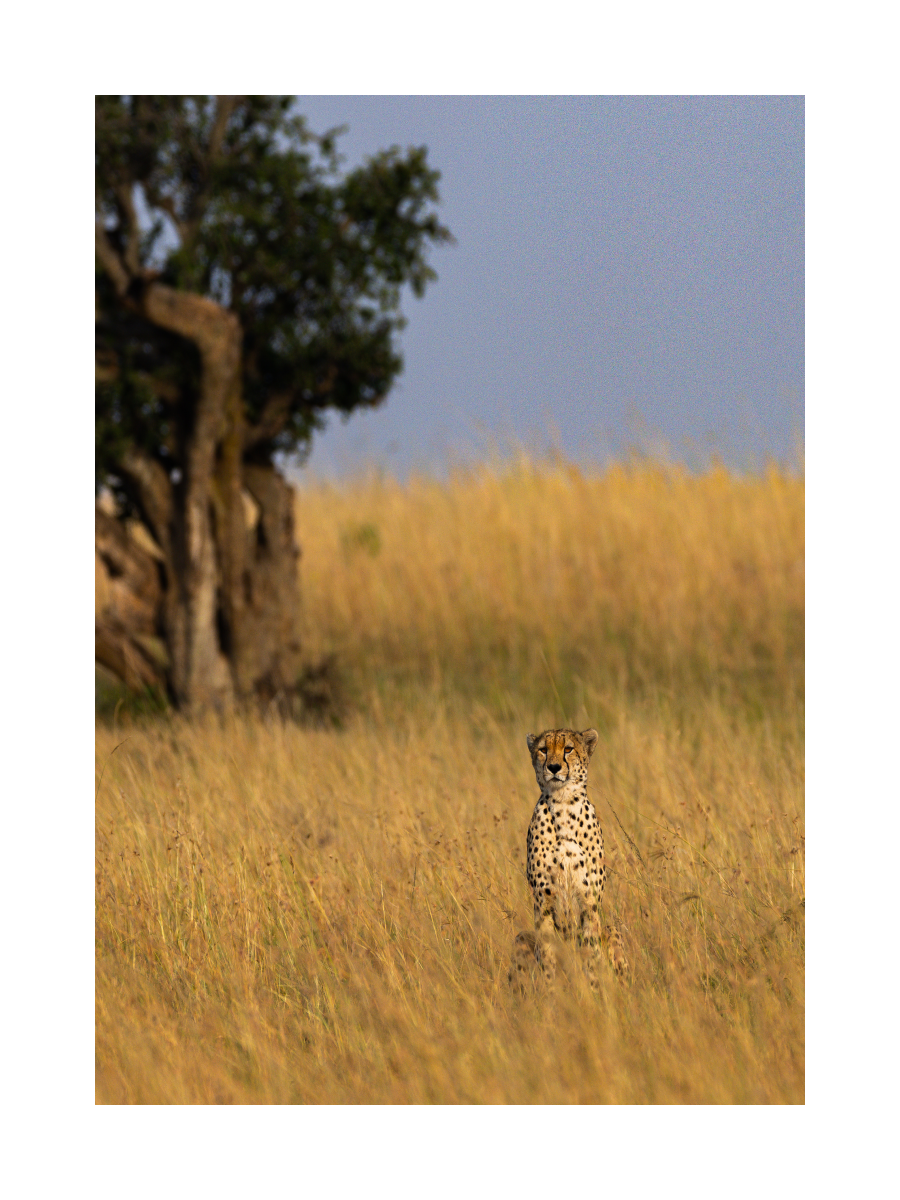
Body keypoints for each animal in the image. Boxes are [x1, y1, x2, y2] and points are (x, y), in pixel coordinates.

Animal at [509, 727, 628, 990]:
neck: (563, 803)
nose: (554, 767)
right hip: (521, 937)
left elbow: (590, 950)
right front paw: (552, 990)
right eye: (543, 750)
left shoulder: (589, 898)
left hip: (612, 930)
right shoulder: (543, 899)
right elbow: (547, 952)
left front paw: (592, 988)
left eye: (568, 749)